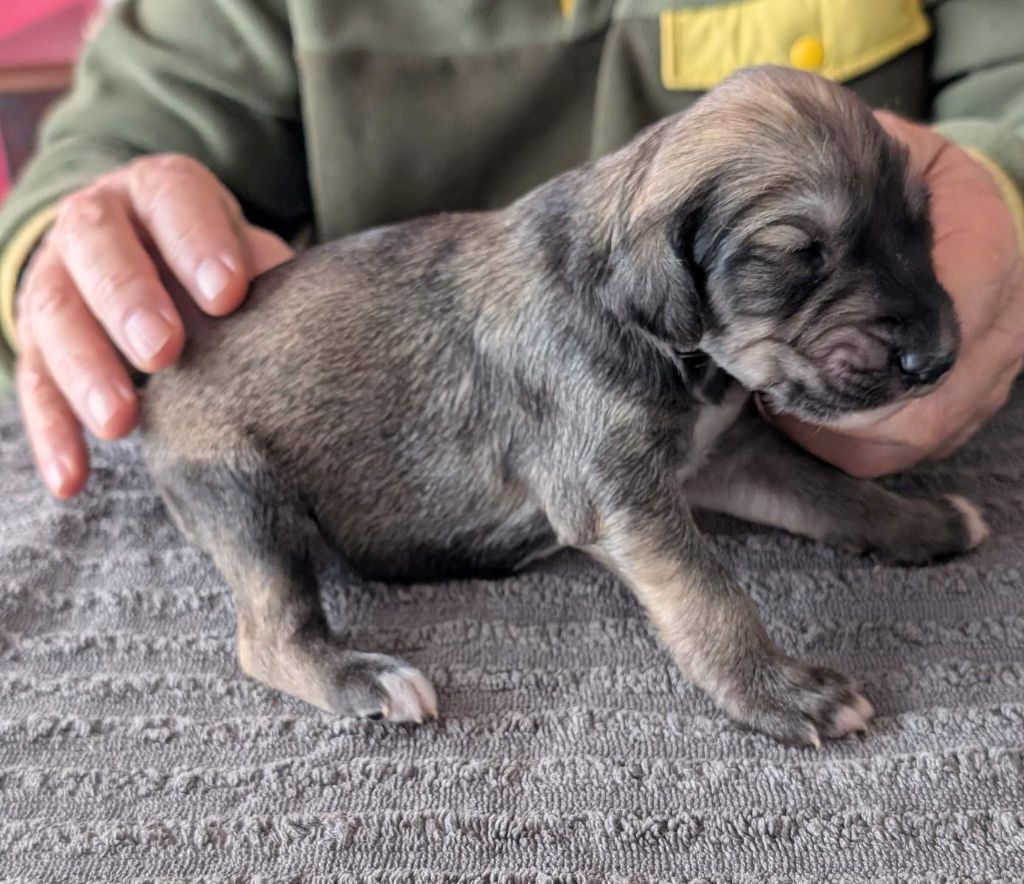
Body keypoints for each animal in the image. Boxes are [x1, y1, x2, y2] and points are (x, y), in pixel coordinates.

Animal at [140, 67, 987, 745]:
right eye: (797, 254)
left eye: (922, 226)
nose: (940, 360)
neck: (669, 338)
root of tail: (163, 376)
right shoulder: (618, 493)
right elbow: (708, 596)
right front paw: (784, 693)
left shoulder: (722, 455)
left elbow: (829, 489)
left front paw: (923, 521)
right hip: (244, 490)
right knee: (269, 633)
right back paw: (366, 679)